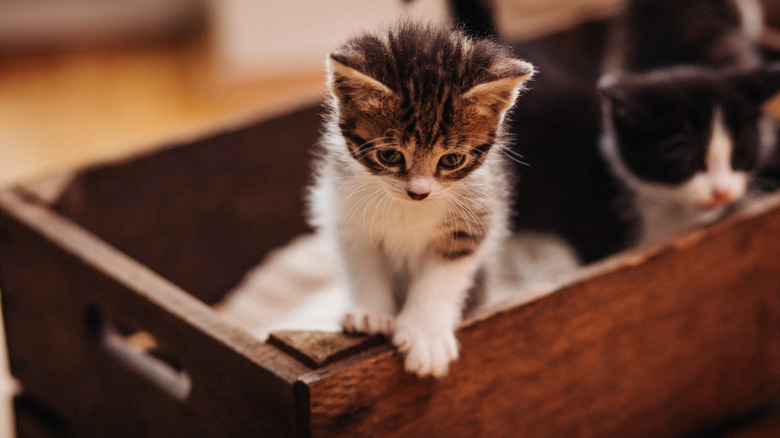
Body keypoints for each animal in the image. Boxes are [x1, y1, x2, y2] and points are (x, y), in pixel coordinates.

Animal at [308, 21, 532, 376]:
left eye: (451, 160)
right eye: (389, 155)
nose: (419, 192)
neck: (407, 207)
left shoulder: (474, 217)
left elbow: (442, 277)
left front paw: (426, 336)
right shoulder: (344, 210)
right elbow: (362, 263)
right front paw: (370, 313)